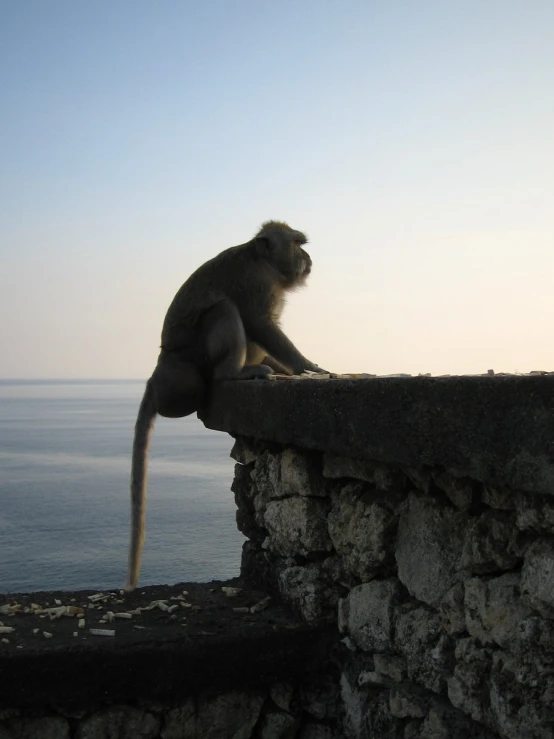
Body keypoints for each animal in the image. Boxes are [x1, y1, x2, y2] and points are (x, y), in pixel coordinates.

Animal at [126, 218, 326, 588]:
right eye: (297, 244)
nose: (307, 258)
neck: (264, 263)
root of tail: (162, 366)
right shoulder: (255, 281)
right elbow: (261, 323)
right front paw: (307, 367)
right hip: (199, 357)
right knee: (225, 310)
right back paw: (234, 374)